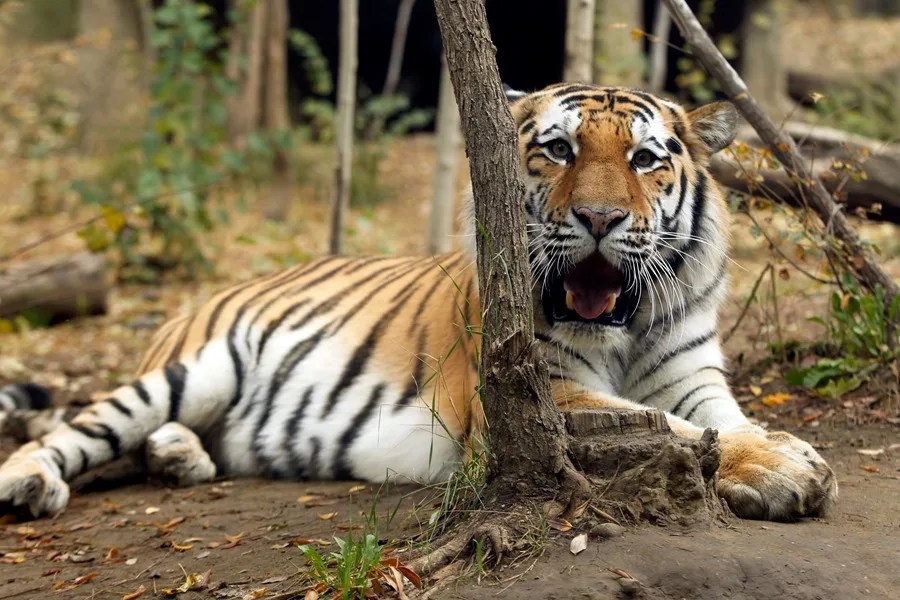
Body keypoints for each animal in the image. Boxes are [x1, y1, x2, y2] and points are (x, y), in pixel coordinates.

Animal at [0, 83, 837, 522]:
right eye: (558, 149)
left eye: (644, 159)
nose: (599, 218)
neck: (624, 331)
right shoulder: (538, 389)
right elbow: (676, 431)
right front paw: (787, 469)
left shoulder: (694, 375)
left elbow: (720, 421)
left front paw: (774, 454)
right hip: (188, 371)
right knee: (78, 428)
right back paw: (28, 482)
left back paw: (181, 458)